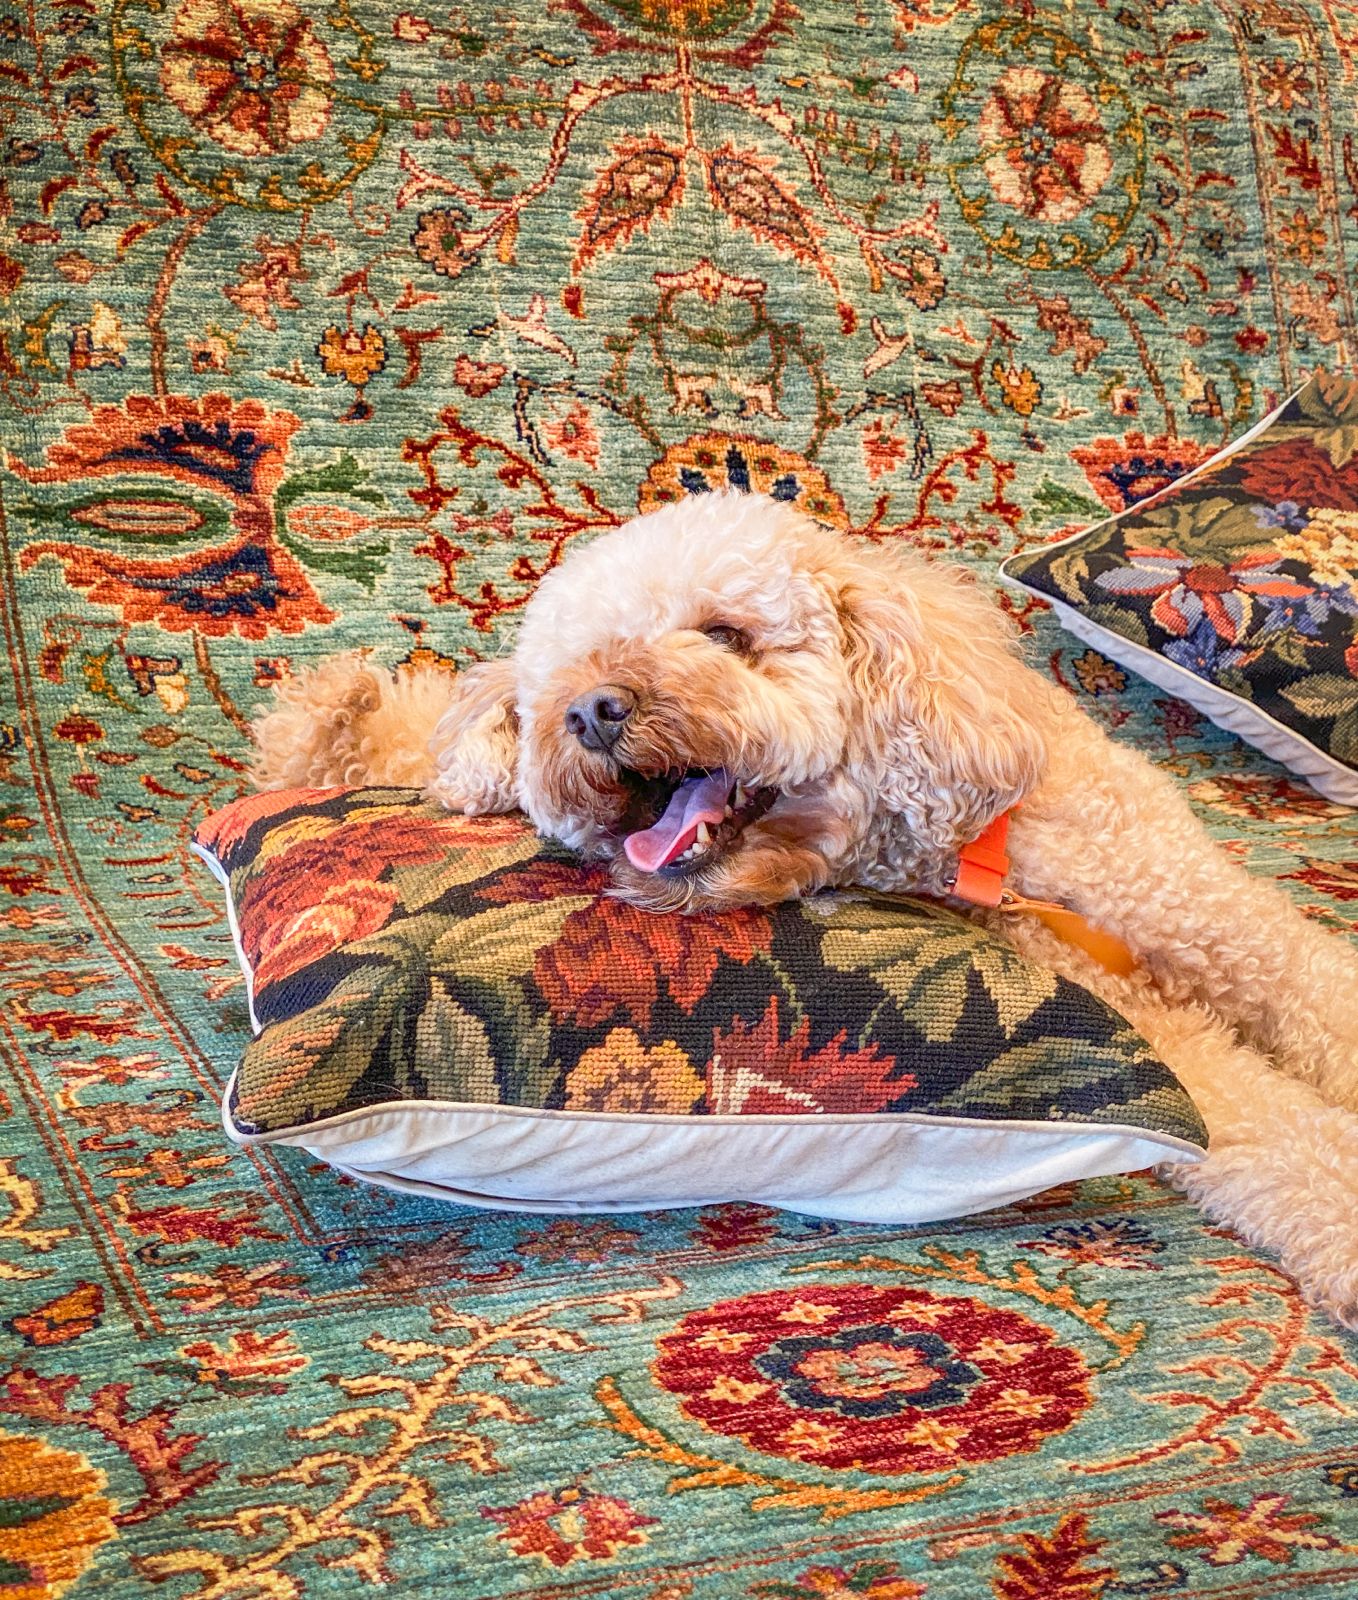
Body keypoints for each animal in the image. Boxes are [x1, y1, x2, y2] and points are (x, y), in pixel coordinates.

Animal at [253, 490, 1358, 1327]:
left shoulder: (1201, 904)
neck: (978, 852)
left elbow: (1318, 990)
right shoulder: (1161, 1028)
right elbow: (1274, 1125)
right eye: (571, 669)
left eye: (726, 636)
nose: (592, 709)